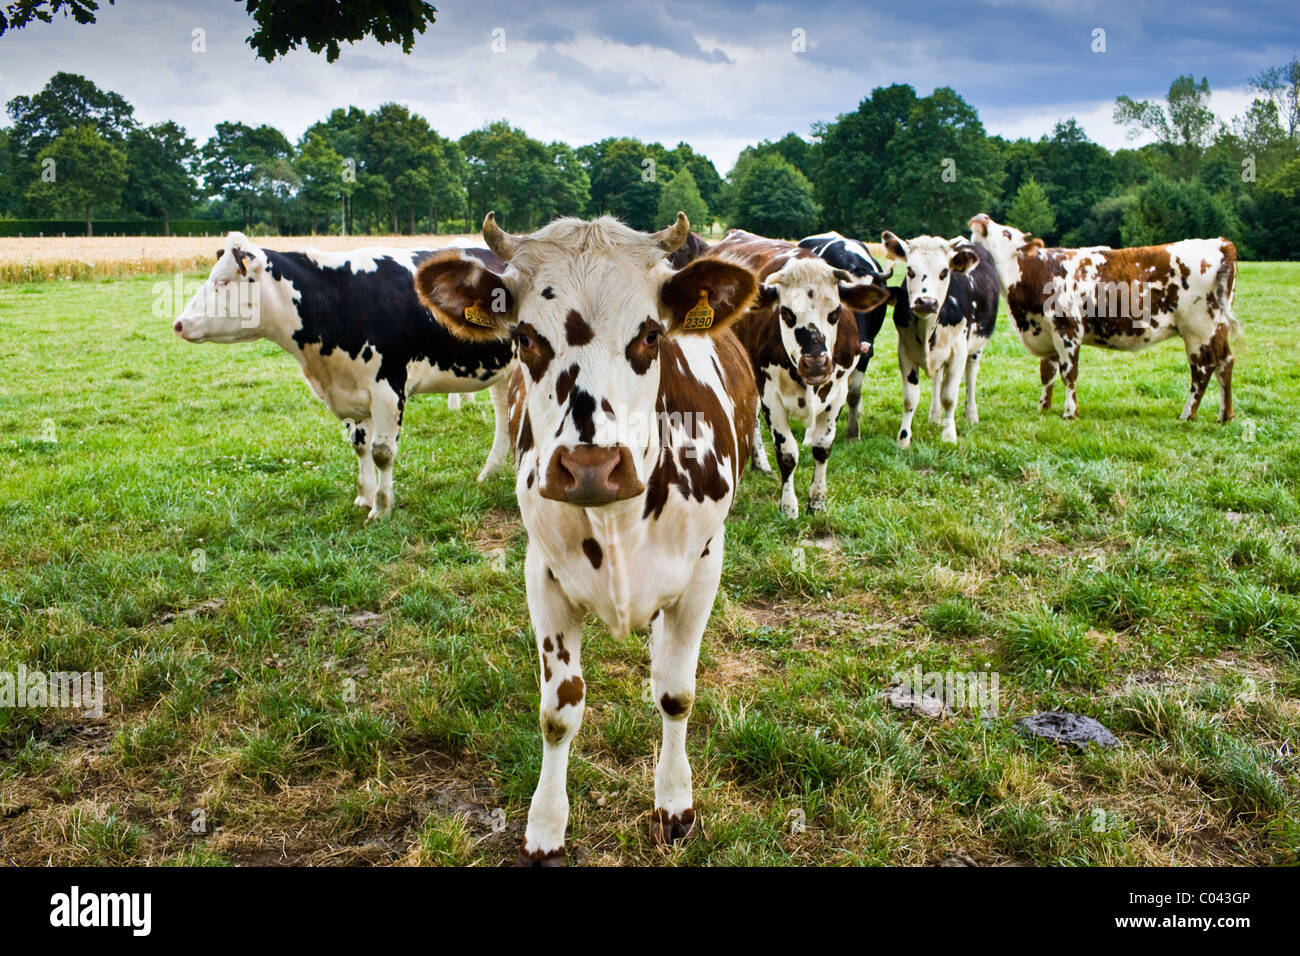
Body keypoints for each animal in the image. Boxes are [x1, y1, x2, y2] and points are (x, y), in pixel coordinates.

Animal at [416, 210, 759, 868]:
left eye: (651, 335)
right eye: (525, 338)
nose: (592, 466)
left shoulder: (705, 567)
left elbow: (676, 693)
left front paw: (674, 805)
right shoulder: (543, 574)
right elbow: (559, 711)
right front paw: (546, 827)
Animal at [878, 231, 998, 447]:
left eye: (944, 272)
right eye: (910, 270)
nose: (926, 302)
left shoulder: (958, 351)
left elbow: (949, 396)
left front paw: (949, 435)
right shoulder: (905, 350)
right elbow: (910, 398)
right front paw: (903, 438)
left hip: (976, 349)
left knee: (970, 376)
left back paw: (971, 415)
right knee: (938, 379)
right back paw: (935, 416)